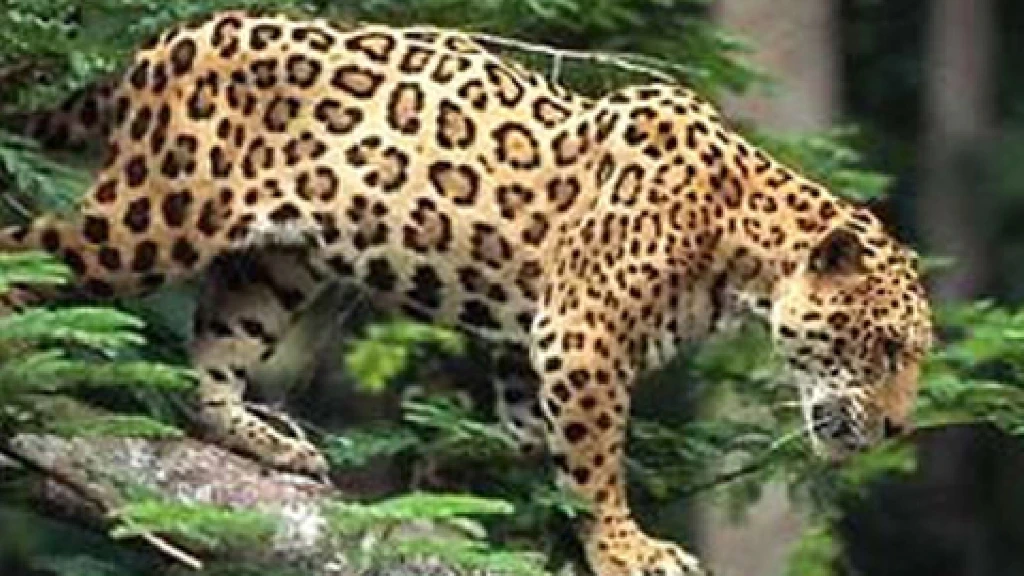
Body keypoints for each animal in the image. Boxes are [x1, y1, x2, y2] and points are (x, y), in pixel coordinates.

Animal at [0, 10, 934, 576]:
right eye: (885, 348)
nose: (894, 429)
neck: (741, 236)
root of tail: (164, 43)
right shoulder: (583, 336)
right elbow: (598, 465)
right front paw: (627, 549)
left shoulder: (533, 350)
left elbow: (546, 452)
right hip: (153, 217)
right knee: (32, 252)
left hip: (276, 265)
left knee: (212, 366)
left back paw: (269, 443)